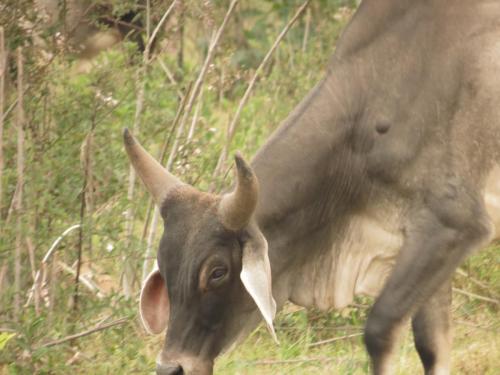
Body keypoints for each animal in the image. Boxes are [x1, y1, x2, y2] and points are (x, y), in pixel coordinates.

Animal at [123, 0, 500, 374]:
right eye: (165, 265)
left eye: (217, 272)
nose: (171, 367)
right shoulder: (424, 241)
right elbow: (431, 343)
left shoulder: (451, 225)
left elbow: (380, 329)